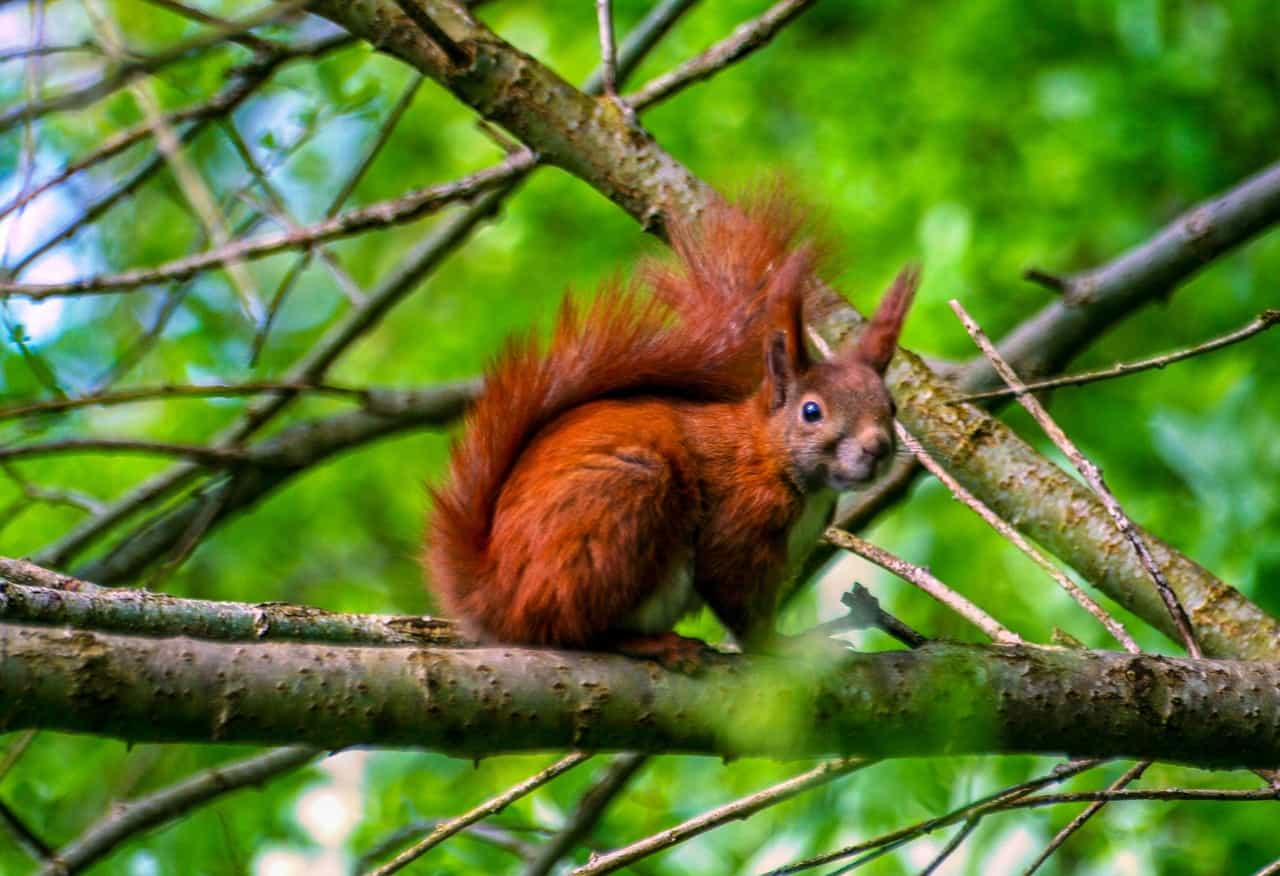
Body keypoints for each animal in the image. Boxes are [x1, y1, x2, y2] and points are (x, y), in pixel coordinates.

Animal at [424, 194, 916, 665]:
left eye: (891, 406)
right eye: (811, 411)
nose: (877, 448)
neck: (769, 455)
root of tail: (495, 597)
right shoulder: (738, 521)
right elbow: (737, 598)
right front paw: (784, 647)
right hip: (620, 503)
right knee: (572, 630)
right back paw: (652, 644)